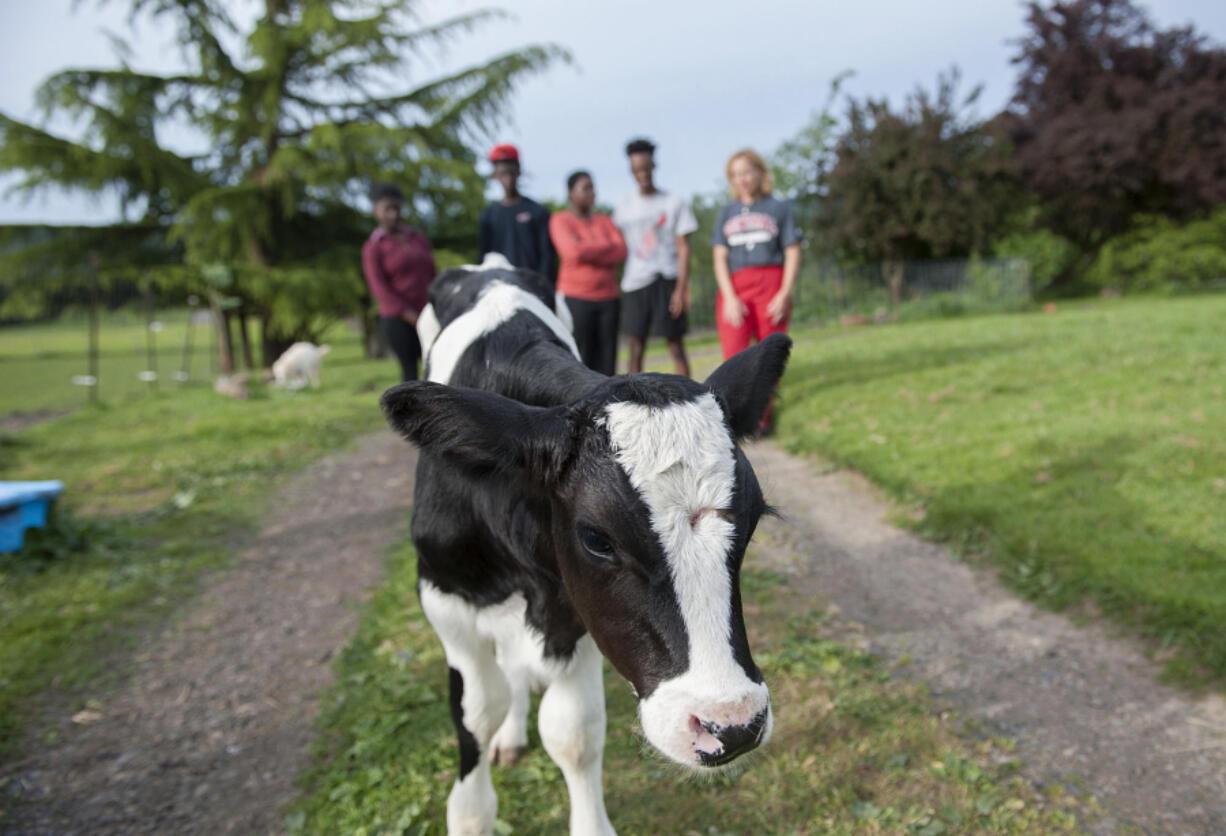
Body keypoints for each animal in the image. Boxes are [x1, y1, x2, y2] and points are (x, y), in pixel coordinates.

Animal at [377, 256, 789, 833]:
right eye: (597, 538)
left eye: (752, 521)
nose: (731, 725)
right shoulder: (445, 598)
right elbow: (478, 714)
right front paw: (472, 809)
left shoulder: (577, 609)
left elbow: (574, 732)